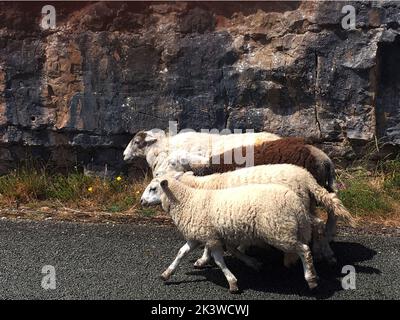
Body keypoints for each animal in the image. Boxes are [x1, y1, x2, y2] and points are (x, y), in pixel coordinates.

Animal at [141, 176, 318, 294]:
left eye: (153, 188)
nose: (141, 201)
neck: (186, 201)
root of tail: (296, 203)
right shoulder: (197, 237)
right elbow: (181, 253)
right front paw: (167, 273)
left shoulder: (211, 238)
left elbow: (219, 261)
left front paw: (232, 282)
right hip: (288, 230)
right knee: (302, 249)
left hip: (279, 231)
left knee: (304, 250)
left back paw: (311, 279)